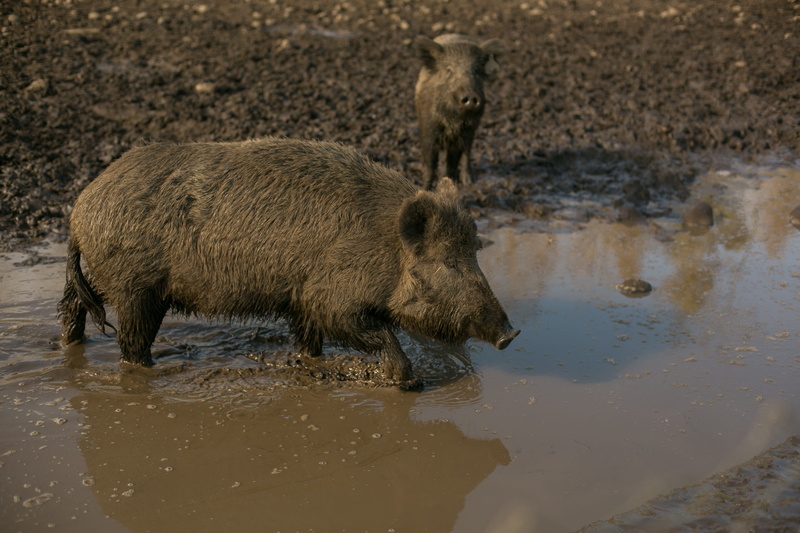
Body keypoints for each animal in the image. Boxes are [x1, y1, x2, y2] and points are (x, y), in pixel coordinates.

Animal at [58, 137, 519, 388]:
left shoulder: (303, 301)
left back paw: (69, 346)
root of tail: (80, 209)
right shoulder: (328, 296)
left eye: (474, 253)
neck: (382, 243)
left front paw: (309, 366)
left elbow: (310, 342)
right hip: (137, 287)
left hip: (105, 279)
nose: (510, 334)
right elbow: (374, 331)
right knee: (130, 343)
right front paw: (412, 383)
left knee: (74, 305)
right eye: (450, 264)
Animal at [414, 34, 504, 190]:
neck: (451, 122)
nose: (471, 96)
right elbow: (430, 163)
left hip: (472, 130)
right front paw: (424, 188)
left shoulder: (461, 135)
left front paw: (449, 184)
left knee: (467, 152)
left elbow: (452, 164)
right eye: (449, 70)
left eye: (476, 71)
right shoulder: (428, 129)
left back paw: (469, 181)